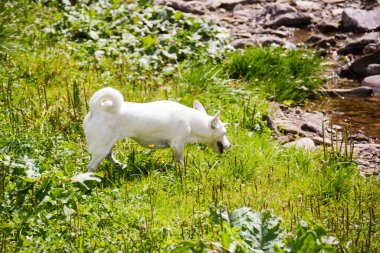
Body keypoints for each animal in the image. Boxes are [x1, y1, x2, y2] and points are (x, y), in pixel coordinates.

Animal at [83, 87, 230, 172]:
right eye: (224, 133)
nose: (229, 145)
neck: (192, 120)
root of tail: (96, 109)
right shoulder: (177, 145)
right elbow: (180, 161)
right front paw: (183, 172)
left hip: (108, 144)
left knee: (109, 156)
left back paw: (120, 165)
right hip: (101, 148)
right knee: (92, 165)